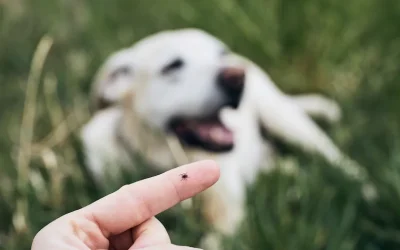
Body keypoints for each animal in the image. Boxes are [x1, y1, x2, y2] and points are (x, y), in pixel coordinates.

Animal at [79, 28, 368, 249]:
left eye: (221, 53)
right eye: (172, 66)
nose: (237, 76)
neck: (166, 158)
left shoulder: (228, 215)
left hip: (284, 119)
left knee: (335, 158)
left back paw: (365, 190)